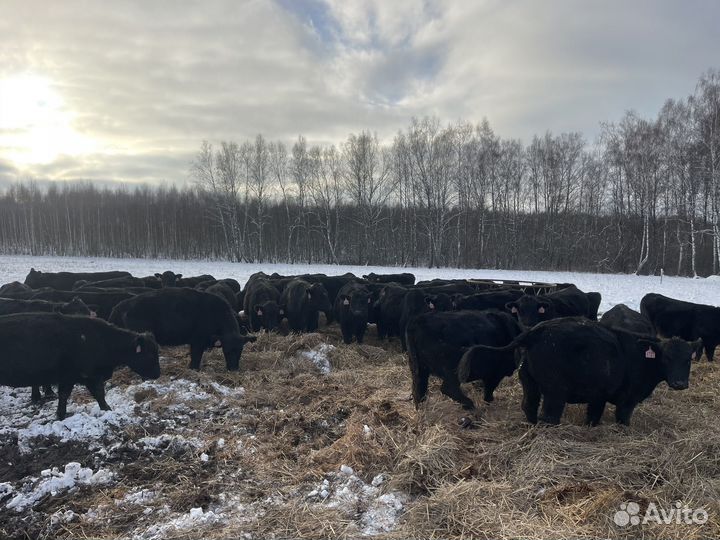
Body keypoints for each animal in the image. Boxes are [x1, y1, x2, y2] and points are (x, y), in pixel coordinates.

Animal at [0, 312, 159, 422]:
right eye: (150, 355)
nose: (158, 374)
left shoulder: (84, 377)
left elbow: (95, 394)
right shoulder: (77, 376)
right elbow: (83, 394)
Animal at [109, 292, 256, 372]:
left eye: (241, 350)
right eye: (227, 351)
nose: (234, 369)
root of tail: (121, 305)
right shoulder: (198, 341)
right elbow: (195, 357)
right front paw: (194, 369)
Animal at [464, 316, 700, 426]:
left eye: (688, 359)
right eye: (667, 358)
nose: (680, 383)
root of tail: (536, 331)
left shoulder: (598, 396)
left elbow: (593, 417)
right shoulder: (628, 399)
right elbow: (622, 419)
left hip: (529, 383)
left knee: (529, 406)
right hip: (555, 391)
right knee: (549, 415)